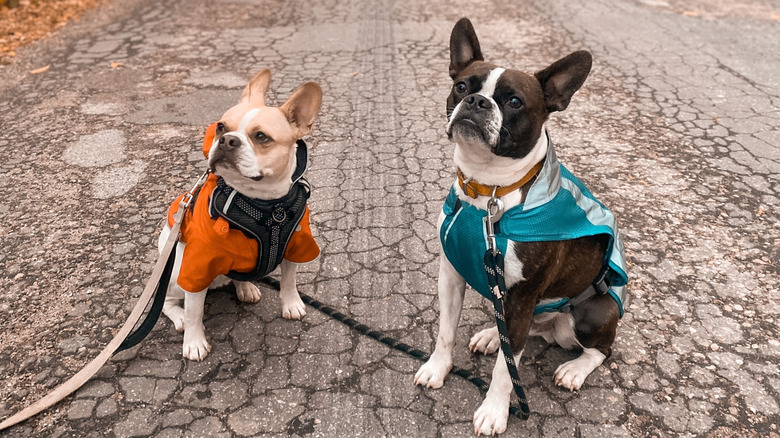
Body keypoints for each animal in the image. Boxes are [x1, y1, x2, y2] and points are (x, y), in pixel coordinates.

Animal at [160, 70, 322, 362]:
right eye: (221, 127)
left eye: (261, 136)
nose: (227, 140)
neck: (265, 205)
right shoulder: (197, 265)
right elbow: (194, 311)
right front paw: (194, 341)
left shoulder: (296, 244)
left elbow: (289, 279)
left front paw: (291, 303)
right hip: (177, 272)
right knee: (169, 302)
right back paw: (179, 317)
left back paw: (245, 287)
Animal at [414, 18, 628, 434]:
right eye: (461, 86)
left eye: (514, 102)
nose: (477, 101)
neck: (488, 191)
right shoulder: (451, 276)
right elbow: (446, 331)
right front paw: (437, 367)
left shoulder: (524, 295)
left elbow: (503, 372)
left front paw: (494, 411)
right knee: (521, 335)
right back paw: (490, 336)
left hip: (593, 313)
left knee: (600, 350)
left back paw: (575, 369)